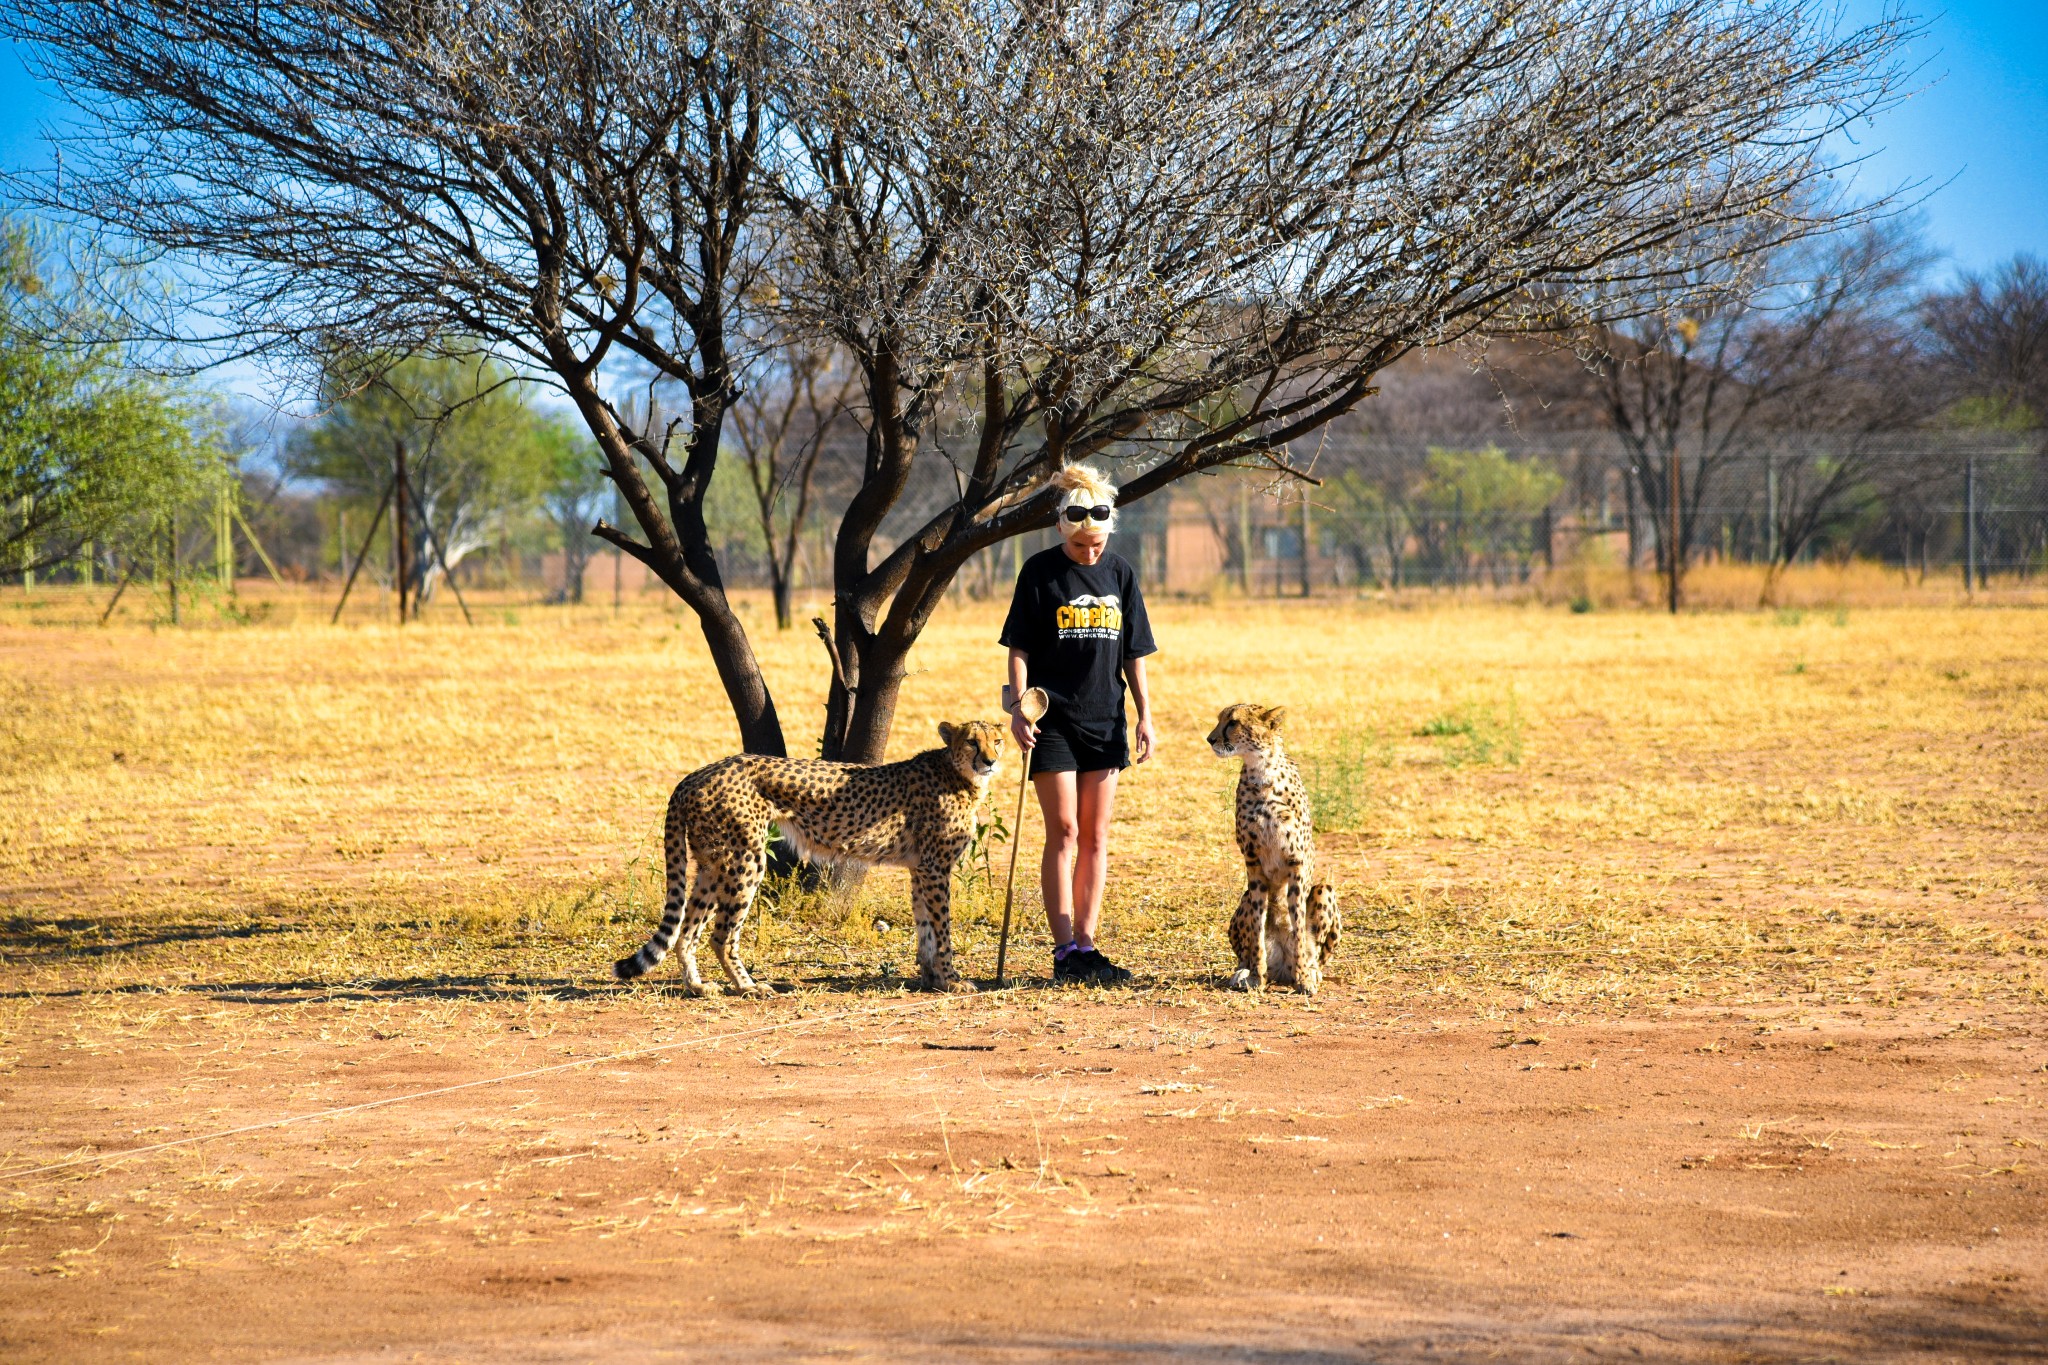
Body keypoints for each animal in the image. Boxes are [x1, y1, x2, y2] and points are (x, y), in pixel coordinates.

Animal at [618, 720, 1011, 998]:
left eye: (997, 740)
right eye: (972, 741)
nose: (991, 761)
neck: (958, 773)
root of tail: (698, 774)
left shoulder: (920, 868)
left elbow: (925, 927)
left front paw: (933, 979)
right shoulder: (934, 867)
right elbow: (942, 929)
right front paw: (951, 980)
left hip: (713, 863)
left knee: (687, 931)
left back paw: (698, 987)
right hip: (746, 859)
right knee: (721, 933)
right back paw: (748, 987)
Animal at [1204, 703, 1335, 994]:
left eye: (1233, 722)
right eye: (1219, 720)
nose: (1210, 739)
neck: (1262, 772)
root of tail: (1281, 968)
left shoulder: (1296, 863)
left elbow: (1297, 926)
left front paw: (1303, 978)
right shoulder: (1253, 863)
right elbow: (1257, 928)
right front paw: (1256, 977)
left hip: (1324, 888)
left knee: (1319, 955)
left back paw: (1309, 969)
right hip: (1244, 897)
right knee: (1246, 948)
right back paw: (1244, 971)